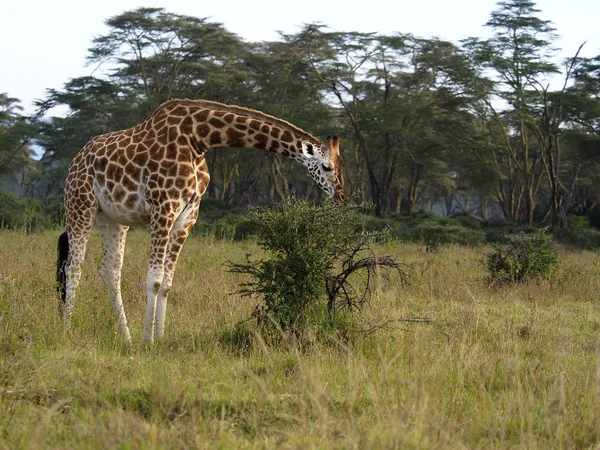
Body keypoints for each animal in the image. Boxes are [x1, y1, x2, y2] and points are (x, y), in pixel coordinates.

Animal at [58, 98, 344, 344]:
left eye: (342, 166)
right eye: (327, 167)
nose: (340, 197)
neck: (199, 140)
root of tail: (75, 161)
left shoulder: (189, 212)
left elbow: (167, 282)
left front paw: (159, 338)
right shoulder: (164, 206)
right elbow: (155, 278)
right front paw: (146, 341)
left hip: (112, 219)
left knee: (110, 271)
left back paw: (125, 338)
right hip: (80, 205)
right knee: (73, 266)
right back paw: (67, 329)